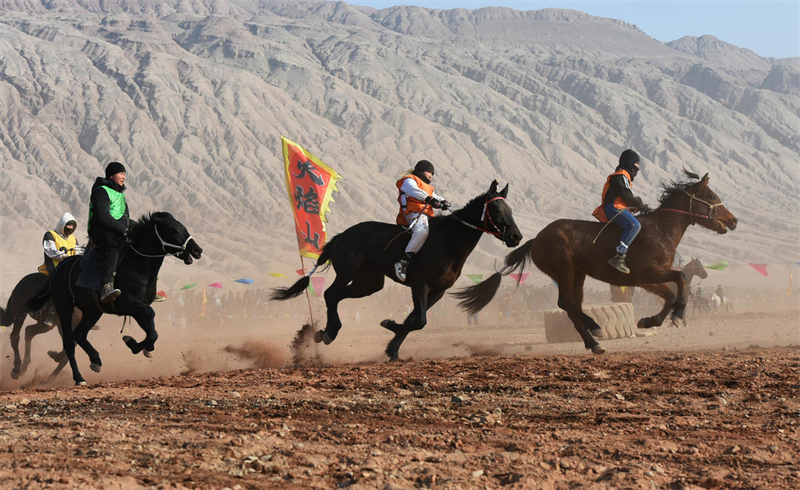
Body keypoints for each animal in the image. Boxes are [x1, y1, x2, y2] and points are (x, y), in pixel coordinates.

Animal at [27, 212, 203, 384]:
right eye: (174, 230)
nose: (197, 250)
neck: (136, 266)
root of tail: (59, 270)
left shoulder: (137, 307)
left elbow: (151, 331)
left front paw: (140, 346)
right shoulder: (128, 304)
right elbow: (151, 320)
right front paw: (133, 343)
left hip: (92, 311)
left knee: (79, 334)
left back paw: (95, 360)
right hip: (64, 308)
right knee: (69, 342)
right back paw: (78, 378)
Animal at [272, 180, 520, 360]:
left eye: (510, 208)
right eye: (496, 208)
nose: (516, 236)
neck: (449, 242)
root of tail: (341, 236)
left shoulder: (437, 291)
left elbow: (415, 319)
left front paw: (392, 348)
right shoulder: (420, 285)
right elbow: (419, 320)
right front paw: (390, 326)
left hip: (369, 283)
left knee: (337, 295)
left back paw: (323, 332)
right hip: (347, 273)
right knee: (330, 294)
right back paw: (328, 333)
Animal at [456, 170, 736, 354]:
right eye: (711, 196)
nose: (733, 220)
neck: (661, 229)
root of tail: (537, 239)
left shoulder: (649, 278)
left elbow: (673, 289)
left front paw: (658, 319)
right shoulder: (647, 275)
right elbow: (679, 282)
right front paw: (669, 317)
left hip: (578, 275)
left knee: (574, 304)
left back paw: (595, 330)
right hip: (564, 271)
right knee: (566, 304)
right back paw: (594, 340)